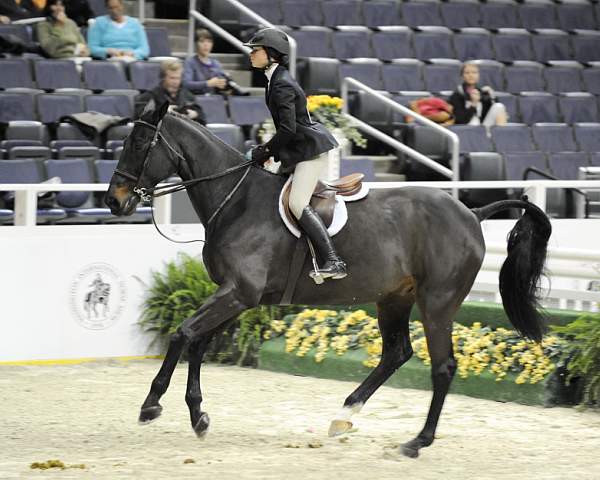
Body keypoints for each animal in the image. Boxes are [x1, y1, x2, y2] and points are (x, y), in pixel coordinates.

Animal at [105, 100, 552, 458]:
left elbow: (182, 334)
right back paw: (344, 416)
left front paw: (151, 404)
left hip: (437, 302)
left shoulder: (238, 293)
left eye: (140, 144)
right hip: (395, 297)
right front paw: (198, 416)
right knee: (396, 353)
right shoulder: (238, 296)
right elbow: (197, 342)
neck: (236, 200)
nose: (113, 200)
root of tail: (471, 213)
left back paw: (415, 442)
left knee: (442, 366)